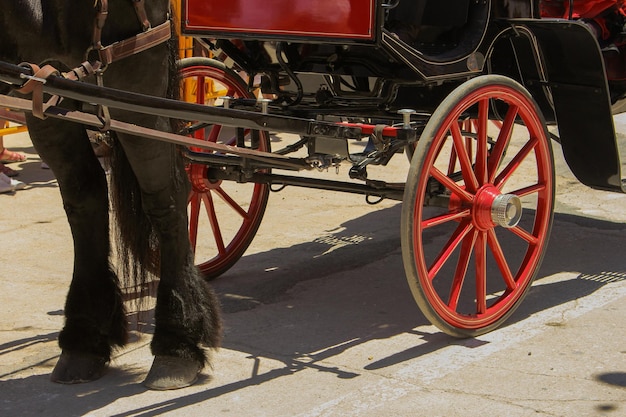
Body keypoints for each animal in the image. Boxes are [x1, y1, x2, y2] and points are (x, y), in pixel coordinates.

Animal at [0, 0, 223, 390]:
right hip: (47, 90)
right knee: (86, 195)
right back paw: (85, 337)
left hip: (130, 78)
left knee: (164, 195)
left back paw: (177, 341)